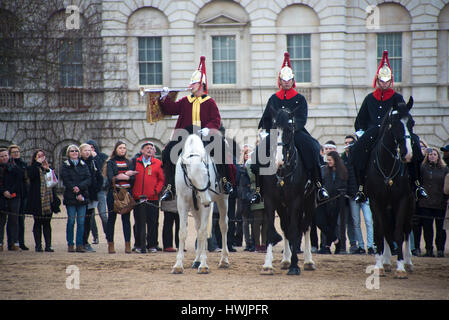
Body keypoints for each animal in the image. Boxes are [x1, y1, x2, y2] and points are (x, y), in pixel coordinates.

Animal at [170, 134, 229, 274]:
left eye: (207, 173)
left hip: (223, 199)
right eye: (191, 177)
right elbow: (183, 232)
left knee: (223, 225)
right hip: (194, 208)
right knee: (197, 226)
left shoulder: (205, 207)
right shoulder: (183, 204)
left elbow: (203, 232)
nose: (207, 201)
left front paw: (203, 265)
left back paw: (223, 260)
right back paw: (196, 260)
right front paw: (178, 265)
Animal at [258, 107, 316, 276]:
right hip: (283, 206)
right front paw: (268, 265)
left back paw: (308, 261)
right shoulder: (271, 201)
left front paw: (295, 266)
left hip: (309, 202)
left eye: (290, 129)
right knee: (285, 226)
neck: (282, 172)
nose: (279, 161)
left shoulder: (296, 201)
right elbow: (272, 230)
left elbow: (294, 230)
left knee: (305, 227)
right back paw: (286, 260)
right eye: (273, 128)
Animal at [366, 96, 414, 278]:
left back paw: (408, 262)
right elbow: (380, 231)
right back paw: (385, 262)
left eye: (412, 122)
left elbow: (399, 233)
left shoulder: (402, 200)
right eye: (394, 123)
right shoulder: (375, 201)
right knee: (386, 230)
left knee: (406, 231)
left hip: (410, 205)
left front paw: (400, 268)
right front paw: (379, 266)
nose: (407, 154)